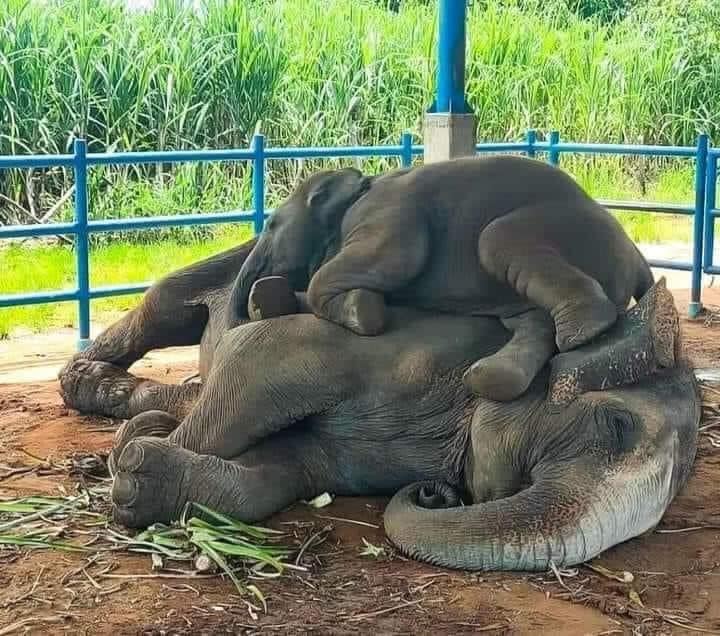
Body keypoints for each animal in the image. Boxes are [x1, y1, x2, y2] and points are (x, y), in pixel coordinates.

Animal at [58, 248, 699, 570]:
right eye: (615, 424)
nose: (437, 492)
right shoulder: (416, 344)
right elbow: (260, 358)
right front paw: (131, 456)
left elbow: (286, 468)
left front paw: (143, 467)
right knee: (164, 305)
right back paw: (94, 385)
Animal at [227, 155, 655, 402]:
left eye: (270, 223)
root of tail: (635, 254)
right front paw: (267, 301)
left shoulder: (384, 212)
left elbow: (396, 257)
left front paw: (364, 312)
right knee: (531, 321)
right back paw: (488, 379)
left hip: (558, 229)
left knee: (497, 241)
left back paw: (582, 332)